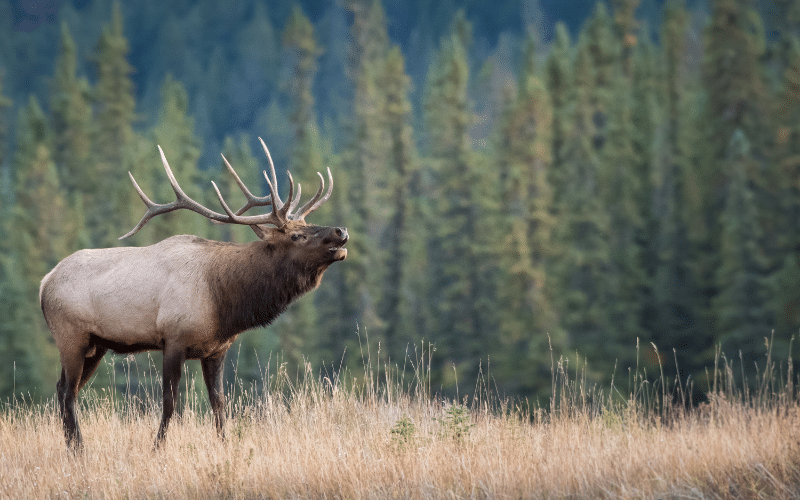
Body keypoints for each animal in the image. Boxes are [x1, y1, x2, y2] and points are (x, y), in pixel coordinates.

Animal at [39, 138, 348, 450]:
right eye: (297, 235)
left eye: (308, 226)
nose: (341, 230)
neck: (224, 300)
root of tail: (44, 283)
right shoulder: (173, 339)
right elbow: (169, 402)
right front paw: (157, 448)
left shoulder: (217, 349)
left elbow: (219, 402)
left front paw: (224, 444)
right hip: (71, 337)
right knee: (68, 392)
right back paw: (78, 448)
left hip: (96, 346)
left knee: (63, 388)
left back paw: (73, 446)